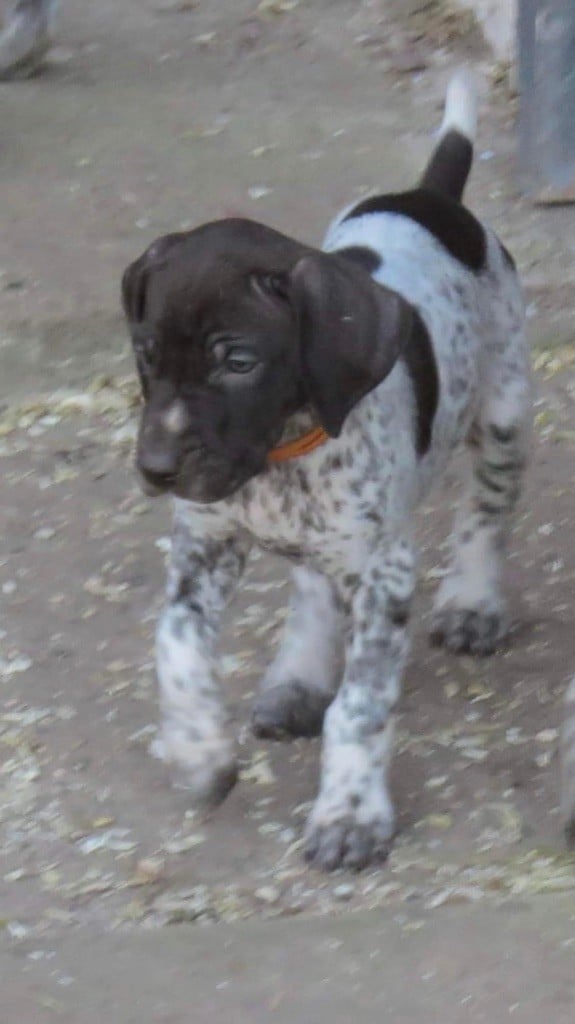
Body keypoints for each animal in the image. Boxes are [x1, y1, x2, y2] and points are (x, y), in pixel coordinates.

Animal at [121, 74, 532, 872]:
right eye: (147, 354)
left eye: (238, 360)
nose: (155, 468)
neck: (281, 459)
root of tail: (429, 195)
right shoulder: (203, 546)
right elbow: (174, 644)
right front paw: (197, 751)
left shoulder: (384, 573)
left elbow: (361, 707)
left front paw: (350, 814)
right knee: (311, 583)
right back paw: (298, 678)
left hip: (501, 411)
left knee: (485, 513)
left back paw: (472, 601)